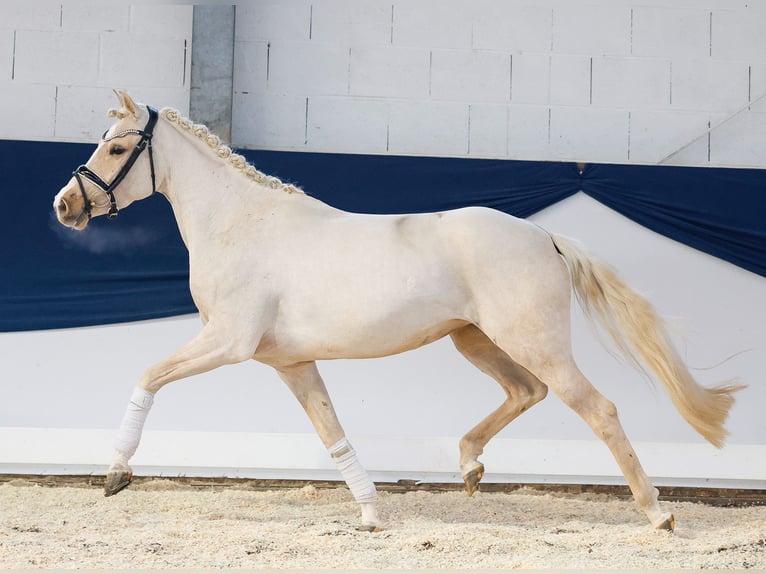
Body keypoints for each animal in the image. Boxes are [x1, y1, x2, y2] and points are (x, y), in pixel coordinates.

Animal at [54, 91, 744, 536]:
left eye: (116, 147)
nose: (65, 206)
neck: (241, 224)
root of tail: (543, 237)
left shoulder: (228, 342)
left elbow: (147, 377)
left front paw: (114, 474)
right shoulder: (289, 361)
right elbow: (332, 434)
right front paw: (370, 515)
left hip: (531, 340)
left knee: (596, 408)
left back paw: (659, 513)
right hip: (477, 341)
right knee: (528, 392)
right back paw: (469, 467)